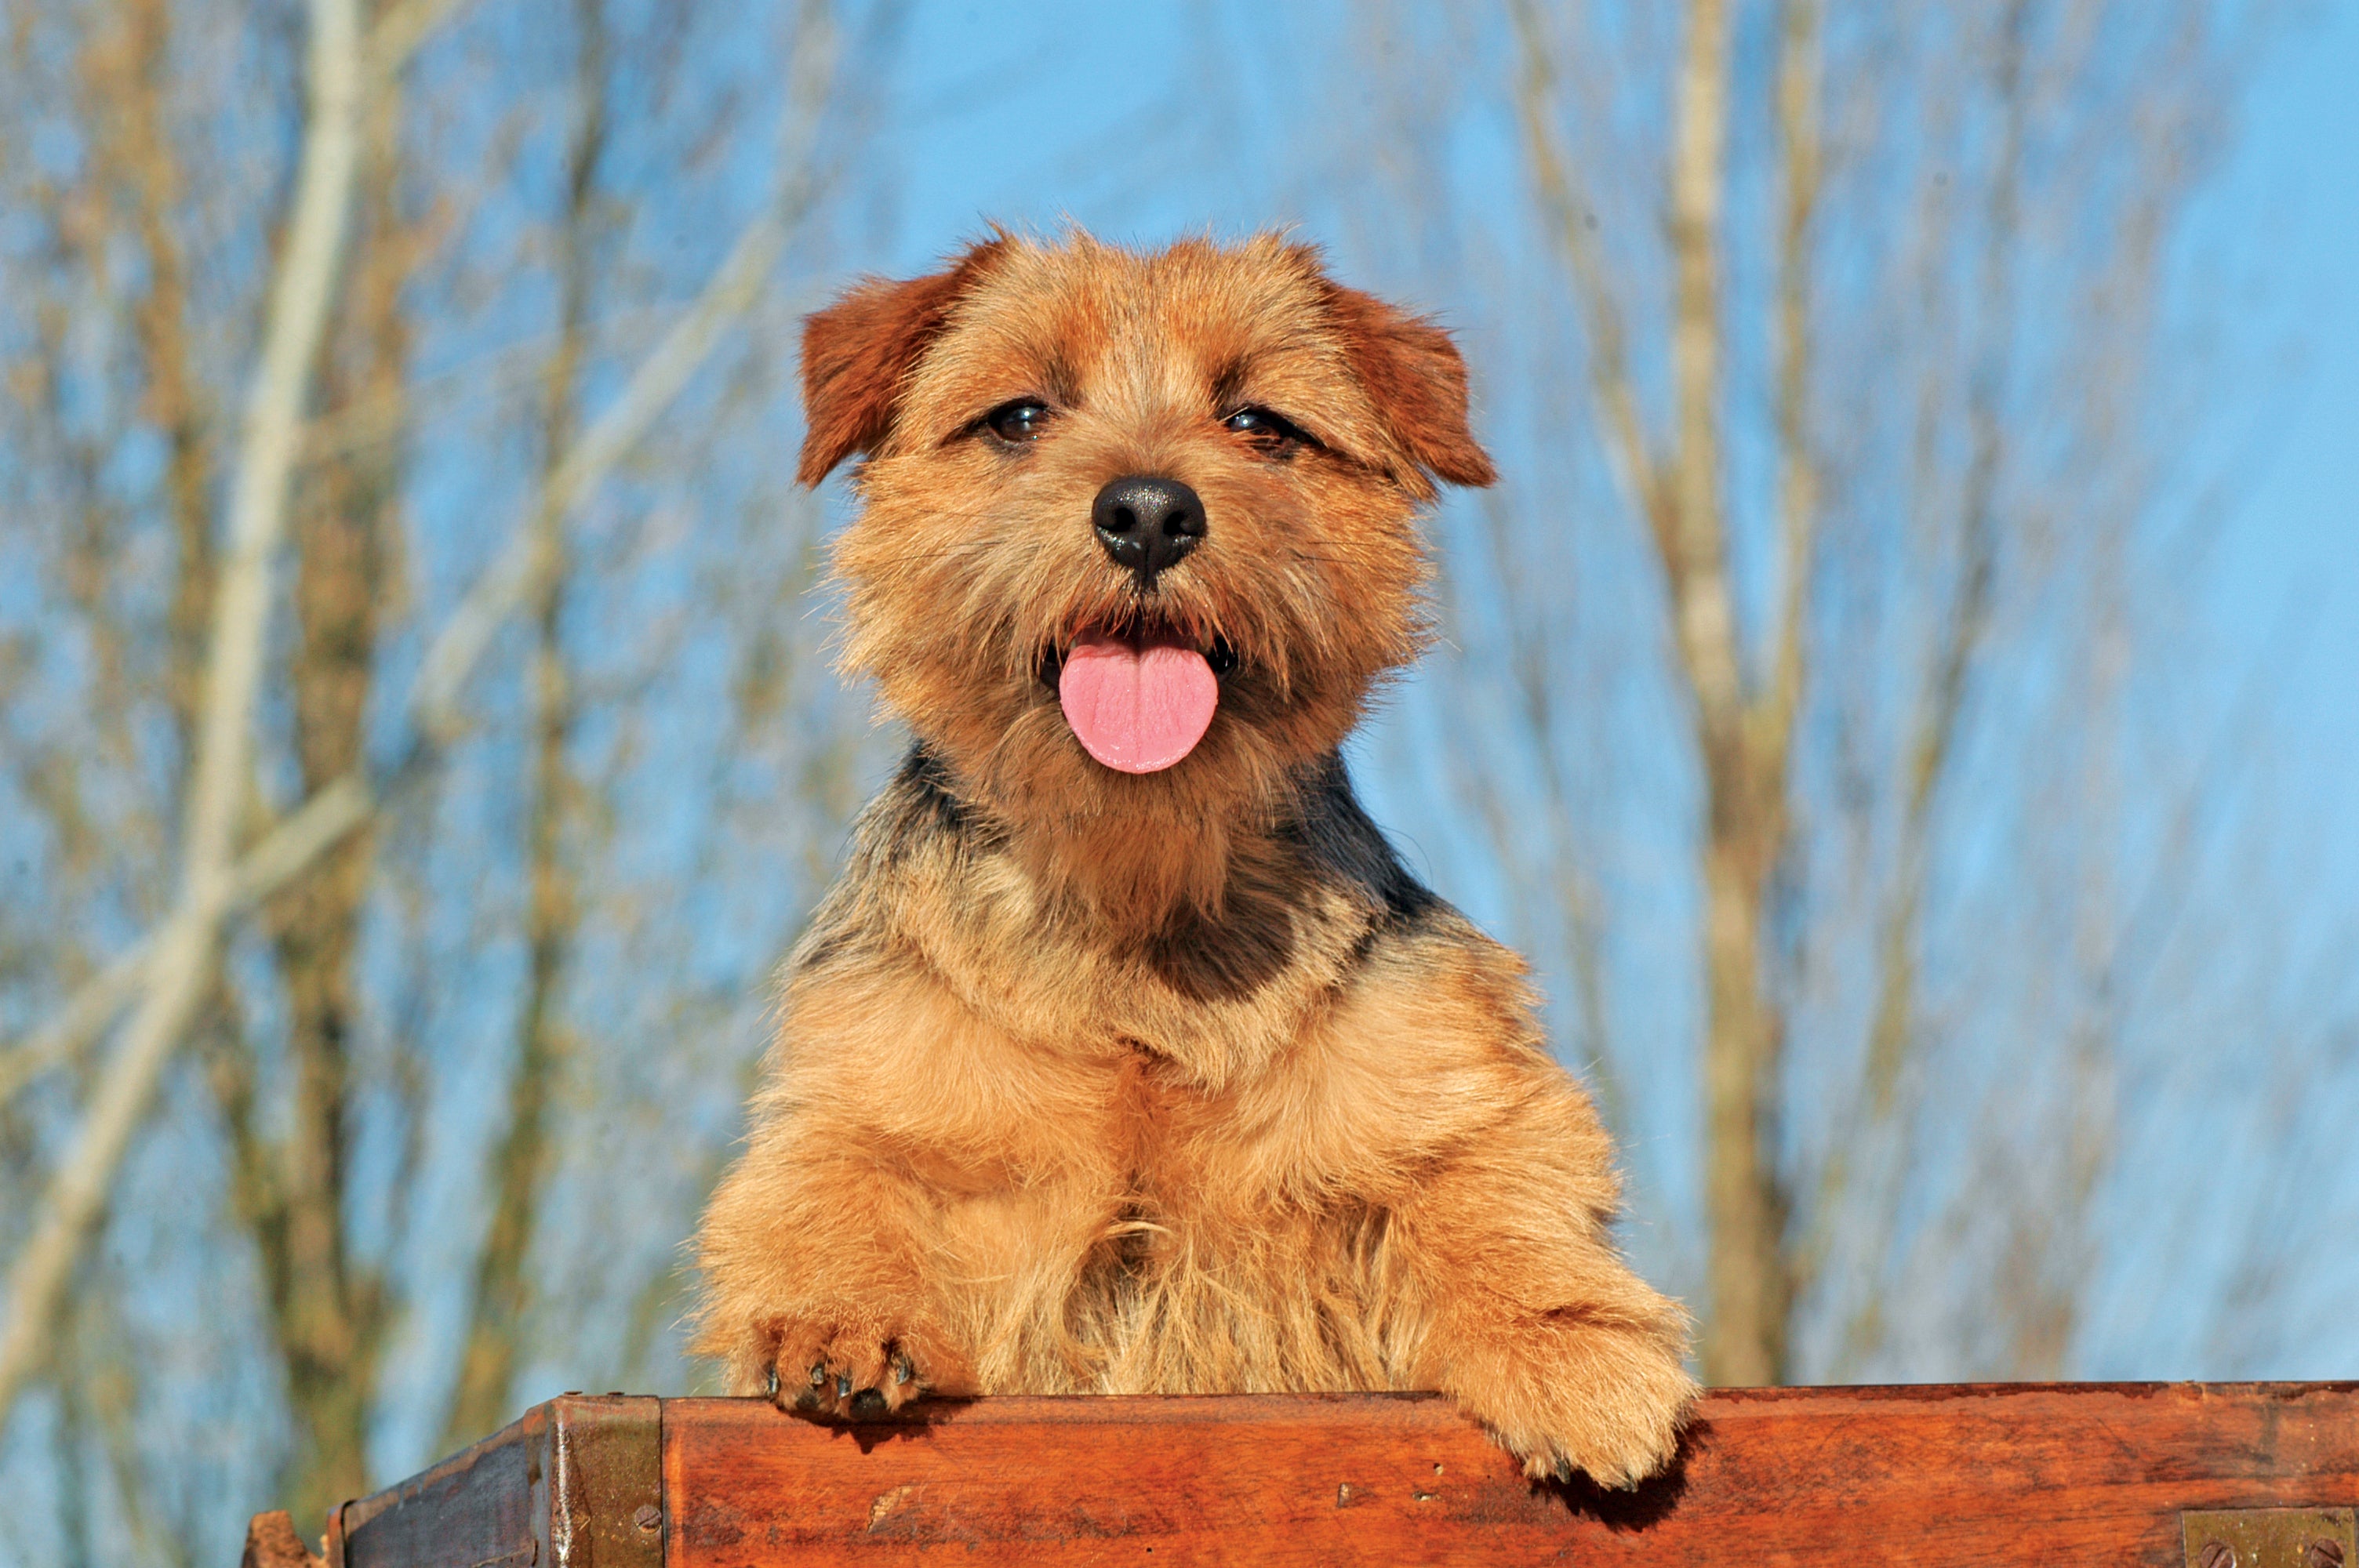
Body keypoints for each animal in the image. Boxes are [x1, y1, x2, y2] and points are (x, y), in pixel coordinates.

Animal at [689, 230, 1707, 1480]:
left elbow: (1493, 1187)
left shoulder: (1449, 1079)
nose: (1147, 512)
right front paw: (839, 1310)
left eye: (1260, 422)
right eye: (1018, 416)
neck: (1137, 893)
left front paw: (1569, 1350)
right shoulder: (861, 1085)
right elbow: (828, 1179)